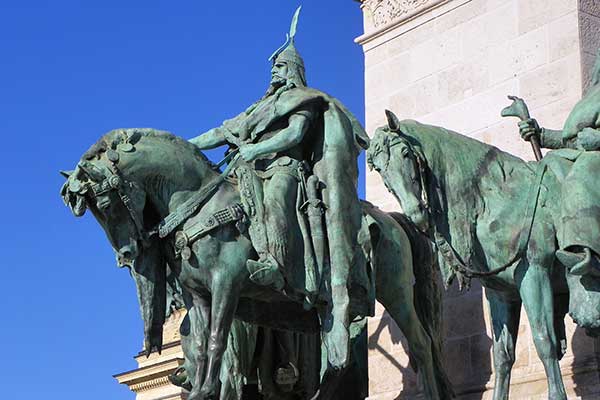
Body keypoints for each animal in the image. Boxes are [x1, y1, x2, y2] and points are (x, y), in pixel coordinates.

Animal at [62, 129, 450, 400]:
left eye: (105, 203)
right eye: (95, 210)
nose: (127, 255)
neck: (199, 204)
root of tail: (392, 218)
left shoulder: (227, 283)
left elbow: (217, 341)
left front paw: (207, 390)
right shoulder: (198, 296)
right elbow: (201, 346)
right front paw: (200, 389)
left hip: (396, 292)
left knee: (421, 343)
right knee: (338, 364)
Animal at [366, 110, 600, 400]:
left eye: (405, 153)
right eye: (379, 169)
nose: (416, 214)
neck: (498, 198)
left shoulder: (535, 274)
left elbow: (544, 339)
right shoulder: (500, 291)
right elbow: (502, 354)